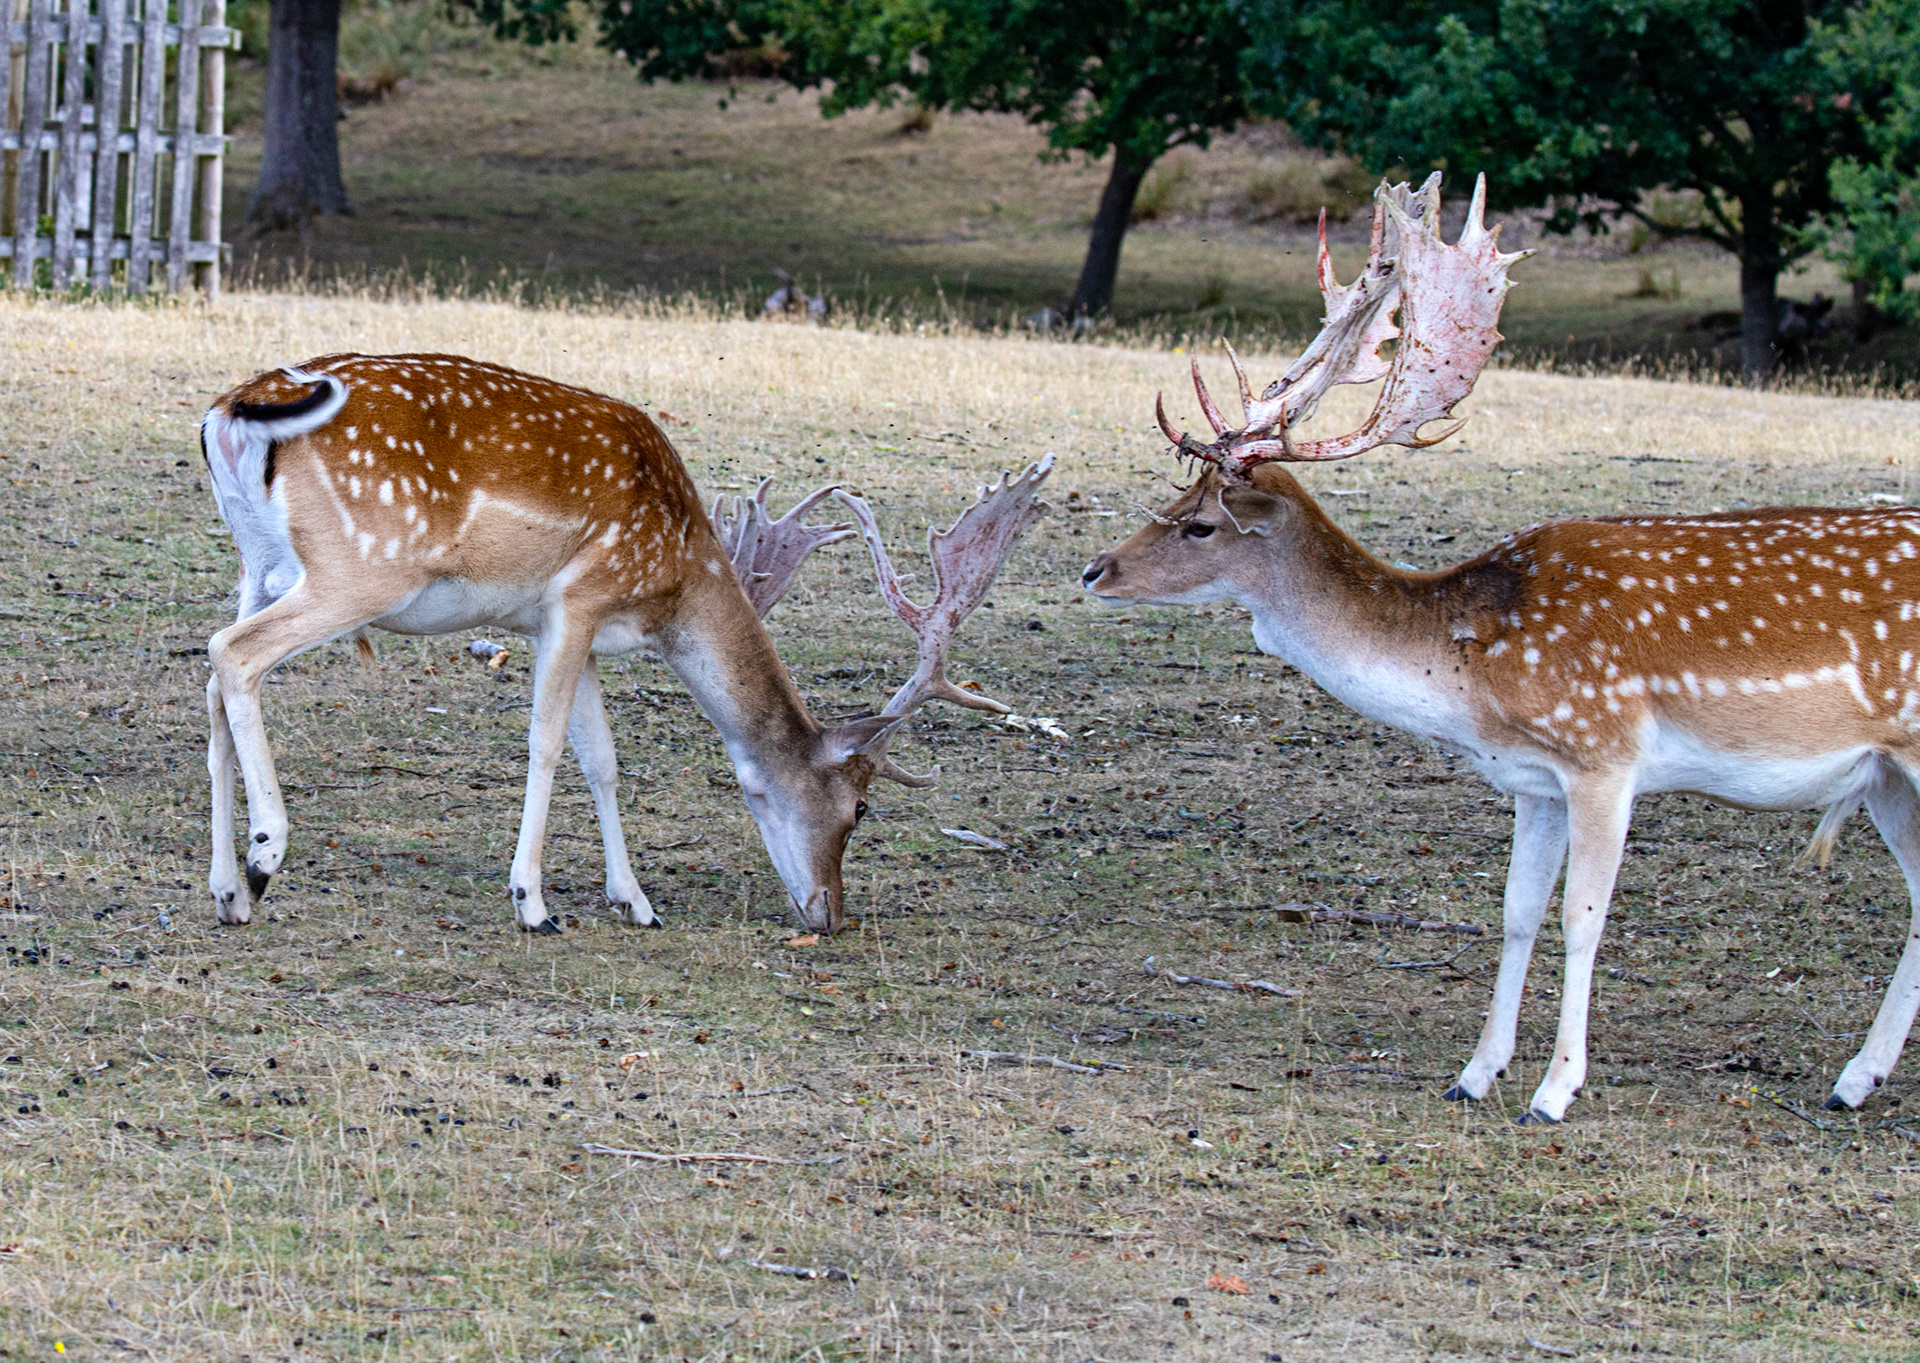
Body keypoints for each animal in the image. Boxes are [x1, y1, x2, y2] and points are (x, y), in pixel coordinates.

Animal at [198, 351, 1051, 936]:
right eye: (861, 807)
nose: (828, 912)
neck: (676, 578)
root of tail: (228, 413)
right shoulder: (579, 596)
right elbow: (546, 742)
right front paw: (532, 901)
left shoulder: (561, 625)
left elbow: (602, 758)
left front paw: (635, 900)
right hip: (362, 567)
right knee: (232, 653)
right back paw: (266, 853)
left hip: (259, 564)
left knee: (212, 678)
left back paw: (228, 889)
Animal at [1083, 172, 1920, 1123]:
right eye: (1173, 499)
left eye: (1199, 524)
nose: (1095, 569)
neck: (1475, 676)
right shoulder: (1532, 779)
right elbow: (1518, 910)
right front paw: (1475, 1071)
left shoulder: (1603, 754)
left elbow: (1581, 918)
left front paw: (1555, 1089)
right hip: (1886, 776)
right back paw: (1854, 1080)